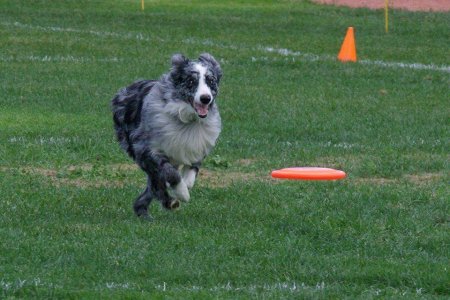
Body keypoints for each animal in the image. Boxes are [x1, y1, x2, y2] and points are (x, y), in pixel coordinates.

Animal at [110, 53, 221, 218]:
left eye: (211, 81)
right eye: (191, 81)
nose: (205, 98)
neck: (186, 119)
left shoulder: (198, 143)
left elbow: (193, 168)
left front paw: (186, 182)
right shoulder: (146, 149)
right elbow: (170, 174)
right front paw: (182, 192)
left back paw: (143, 209)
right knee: (156, 181)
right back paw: (167, 202)